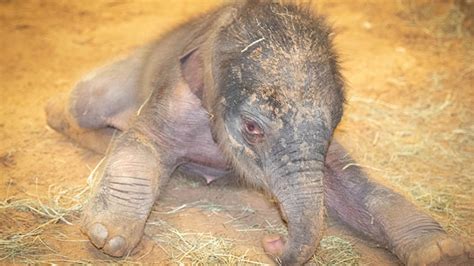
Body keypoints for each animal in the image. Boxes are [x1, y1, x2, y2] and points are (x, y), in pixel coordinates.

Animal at [44, 1, 470, 264]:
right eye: (252, 127)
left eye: (336, 123)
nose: (272, 241)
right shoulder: (175, 95)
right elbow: (143, 141)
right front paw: (108, 236)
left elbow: (351, 182)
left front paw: (443, 253)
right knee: (83, 102)